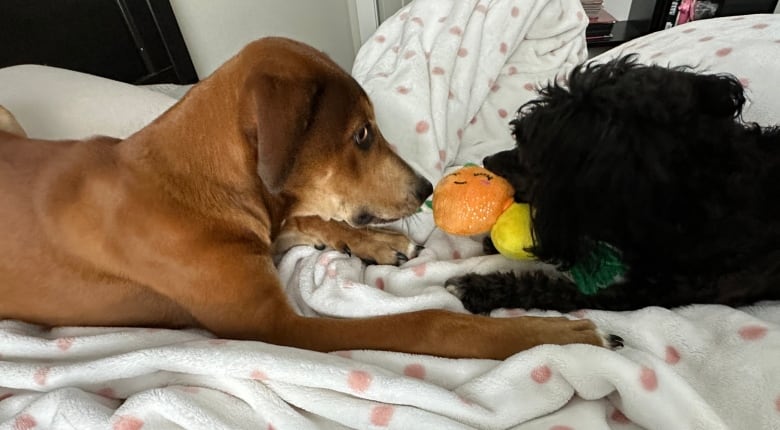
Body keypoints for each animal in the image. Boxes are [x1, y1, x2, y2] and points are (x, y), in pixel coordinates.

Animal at [0, 37, 616, 360]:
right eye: (362, 134)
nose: (425, 190)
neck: (196, 186)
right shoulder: (280, 327)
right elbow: (428, 324)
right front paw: (550, 335)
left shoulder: (273, 228)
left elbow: (312, 218)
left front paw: (375, 242)